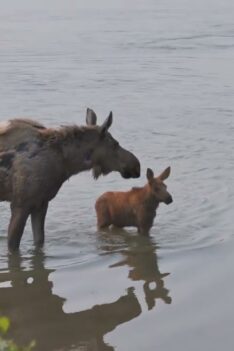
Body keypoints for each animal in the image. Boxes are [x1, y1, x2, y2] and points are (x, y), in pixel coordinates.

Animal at [0, 109, 140, 250]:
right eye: (115, 144)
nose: (136, 165)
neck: (66, 164)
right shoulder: (20, 204)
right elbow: (13, 246)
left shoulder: (41, 203)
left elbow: (39, 241)